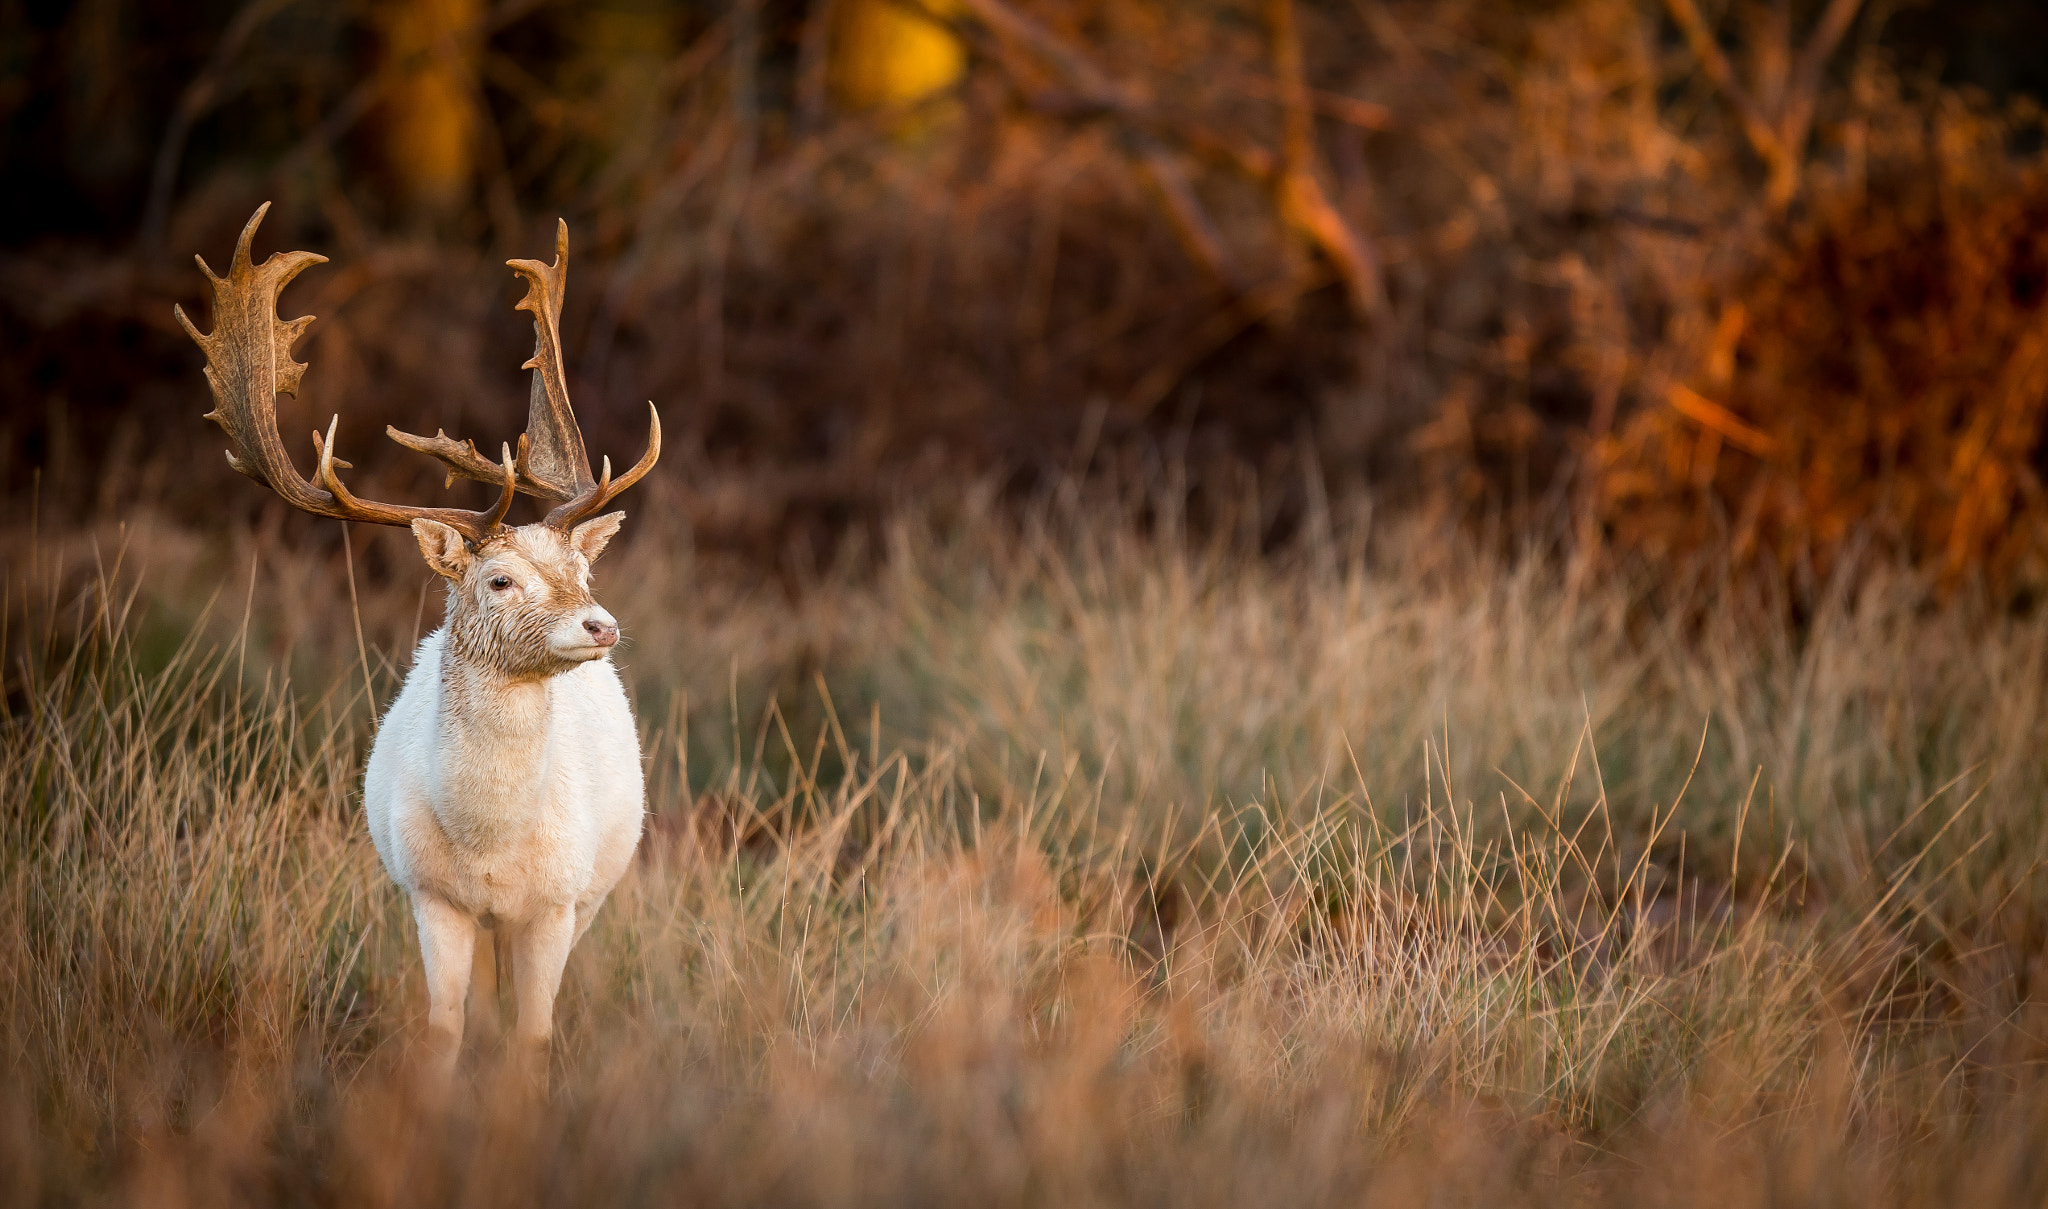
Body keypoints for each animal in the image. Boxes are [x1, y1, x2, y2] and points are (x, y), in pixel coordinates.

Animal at [177, 205, 659, 1090]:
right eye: (499, 579)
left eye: (580, 567)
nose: (600, 624)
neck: (489, 843)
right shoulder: (431, 896)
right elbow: (445, 1029)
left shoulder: (556, 901)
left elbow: (533, 1038)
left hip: (598, 888)